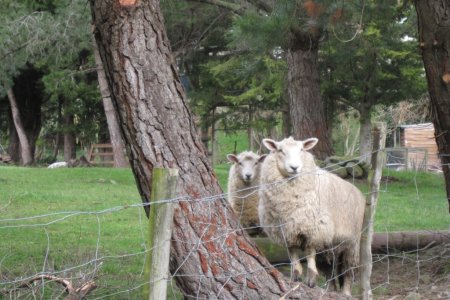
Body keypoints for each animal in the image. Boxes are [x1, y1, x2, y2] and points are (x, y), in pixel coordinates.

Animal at [256, 137, 366, 296]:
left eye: (301, 149)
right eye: (280, 150)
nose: (294, 167)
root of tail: (359, 192)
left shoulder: (314, 230)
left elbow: (309, 254)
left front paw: (311, 279)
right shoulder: (287, 230)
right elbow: (293, 254)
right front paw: (295, 276)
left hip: (351, 241)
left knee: (347, 269)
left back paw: (345, 292)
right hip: (331, 245)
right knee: (330, 268)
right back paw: (330, 289)